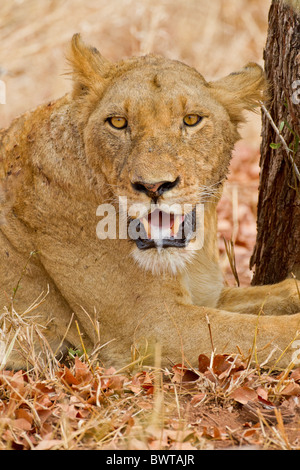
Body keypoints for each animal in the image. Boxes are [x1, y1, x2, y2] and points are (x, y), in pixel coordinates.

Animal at [0, 34, 300, 370]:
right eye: (118, 122)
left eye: (191, 120)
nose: (153, 186)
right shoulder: (151, 326)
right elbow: (266, 331)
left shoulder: (207, 295)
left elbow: (280, 292)